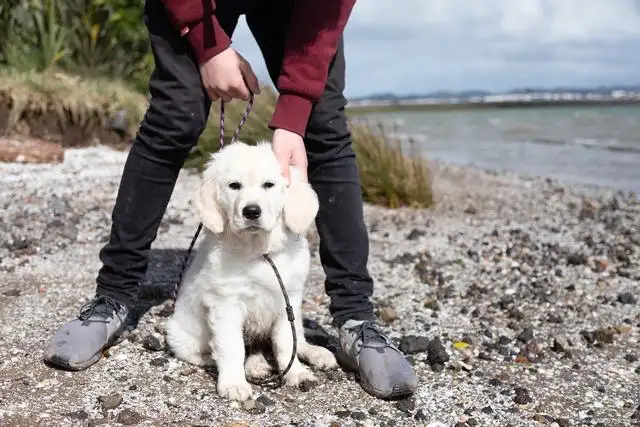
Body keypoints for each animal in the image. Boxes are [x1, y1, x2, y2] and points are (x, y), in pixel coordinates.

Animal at [162, 142, 338, 402]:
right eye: (234, 185)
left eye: (269, 185)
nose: (251, 211)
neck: (259, 251)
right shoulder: (226, 305)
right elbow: (232, 347)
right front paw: (234, 383)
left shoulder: (288, 301)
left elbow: (287, 342)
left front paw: (295, 373)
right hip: (179, 333)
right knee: (212, 351)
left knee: (297, 338)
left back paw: (316, 354)